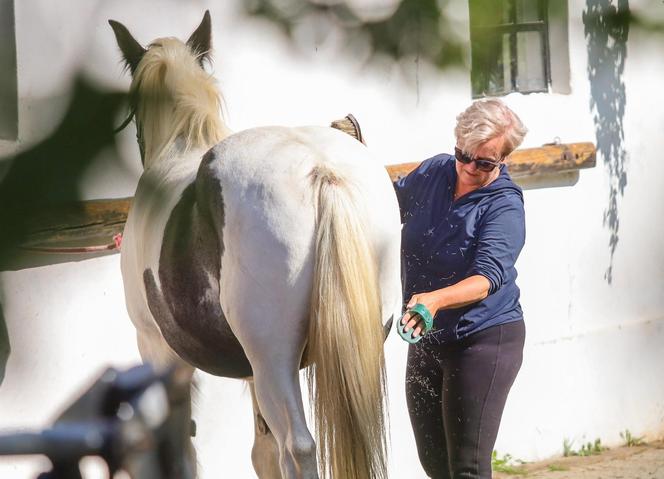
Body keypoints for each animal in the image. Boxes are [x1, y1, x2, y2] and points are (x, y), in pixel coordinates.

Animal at [109, 12, 402, 479]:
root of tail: (320, 169)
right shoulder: (247, 370)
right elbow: (263, 452)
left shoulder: (158, 350)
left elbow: (181, 449)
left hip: (273, 360)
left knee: (299, 446)